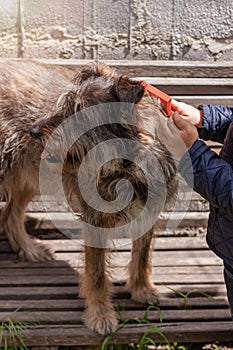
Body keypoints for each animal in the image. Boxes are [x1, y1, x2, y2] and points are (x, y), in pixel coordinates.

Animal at [0, 61, 177, 334]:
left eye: (79, 112)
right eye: (63, 104)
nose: (33, 130)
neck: (124, 165)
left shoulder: (149, 211)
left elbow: (142, 256)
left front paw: (141, 290)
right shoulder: (95, 220)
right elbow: (97, 274)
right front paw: (100, 315)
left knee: (11, 214)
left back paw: (30, 249)